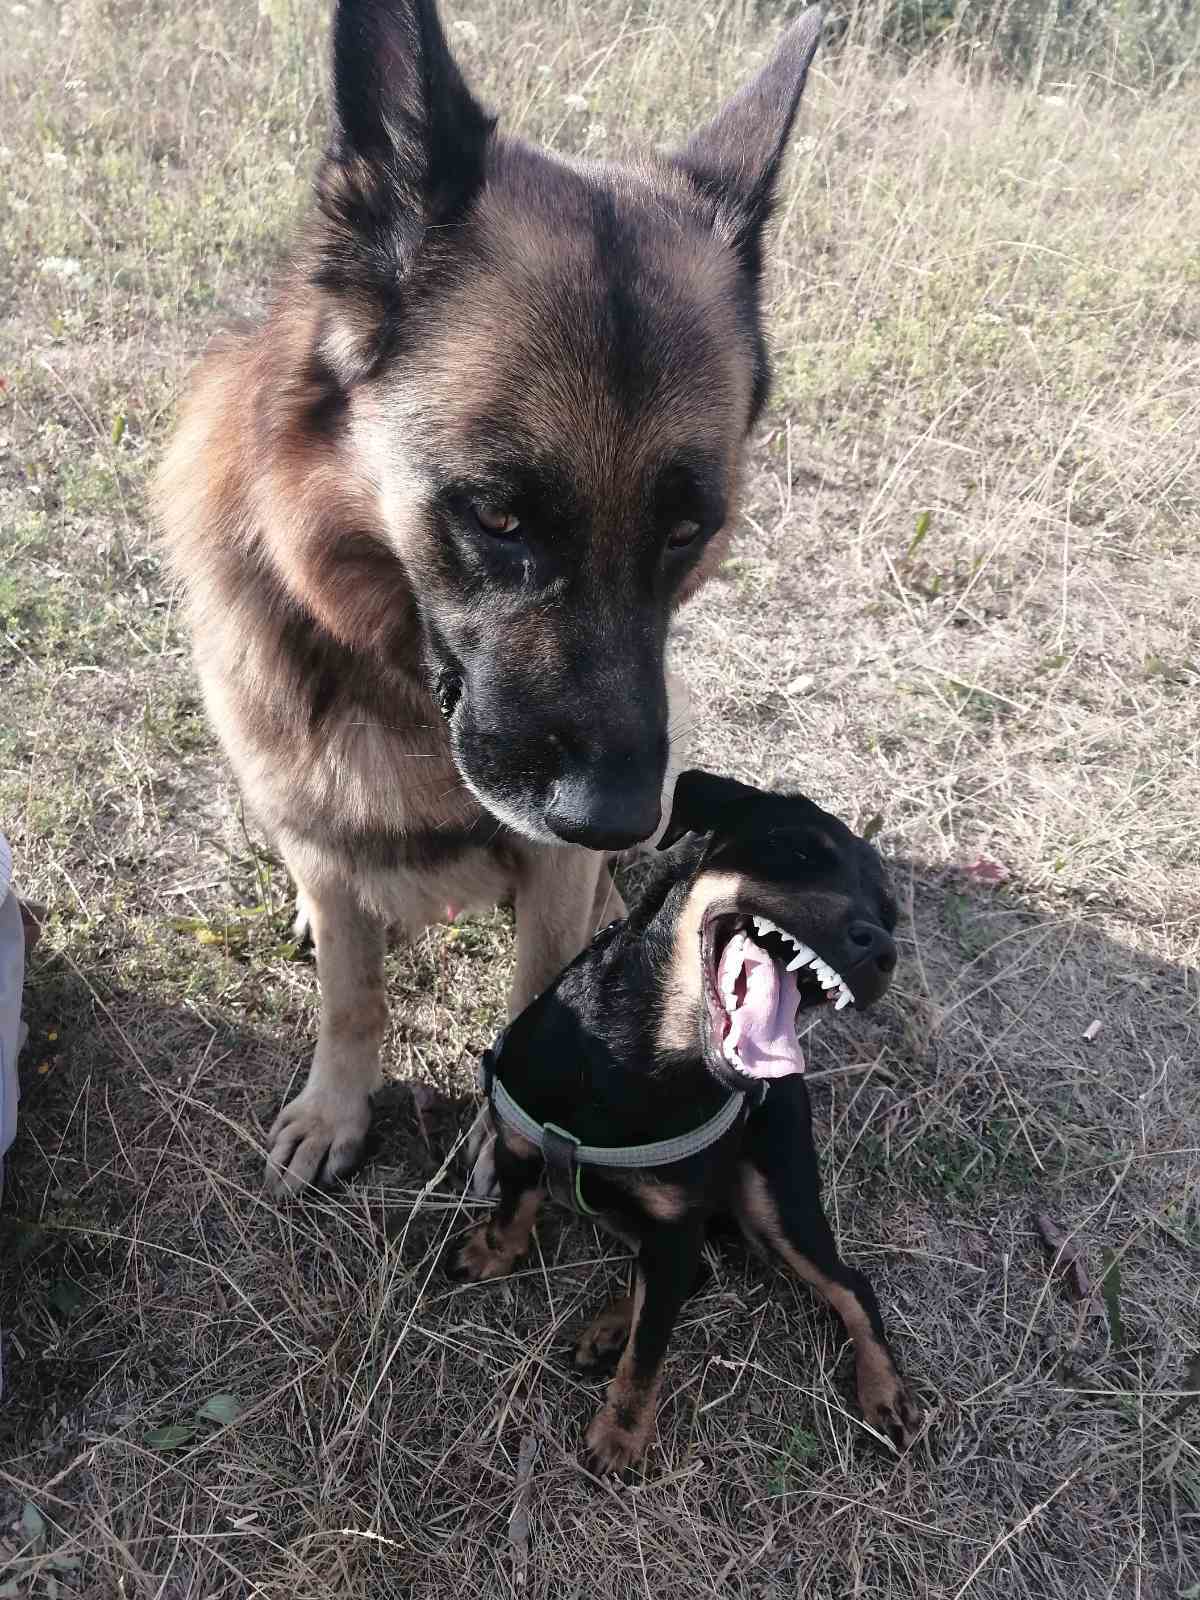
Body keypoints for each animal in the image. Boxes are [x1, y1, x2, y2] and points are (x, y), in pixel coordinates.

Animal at [448, 768, 921, 1465]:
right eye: (796, 850)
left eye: (891, 916)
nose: (881, 947)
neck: (636, 1060)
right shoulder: (520, 1142)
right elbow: (515, 1206)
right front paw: (491, 1253)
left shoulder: (674, 1225)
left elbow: (651, 1349)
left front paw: (621, 1433)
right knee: (693, 1271)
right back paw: (609, 1328)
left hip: (772, 1201)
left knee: (846, 1285)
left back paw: (885, 1390)